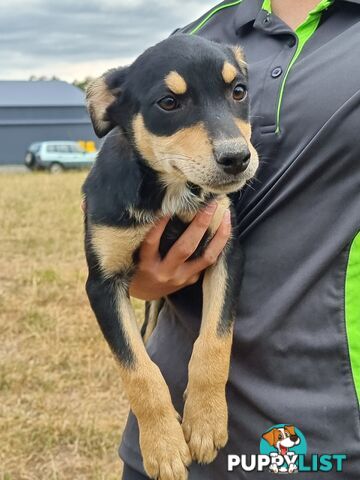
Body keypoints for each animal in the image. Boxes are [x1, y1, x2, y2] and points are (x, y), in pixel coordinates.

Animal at [83, 34, 258, 480]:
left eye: (238, 92)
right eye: (168, 103)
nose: (237, 158)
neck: (170, 193)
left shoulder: (227, 254)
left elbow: (215, 342)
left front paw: (206, 421)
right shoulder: (102, 285)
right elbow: (138, 370)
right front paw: (162, 446)